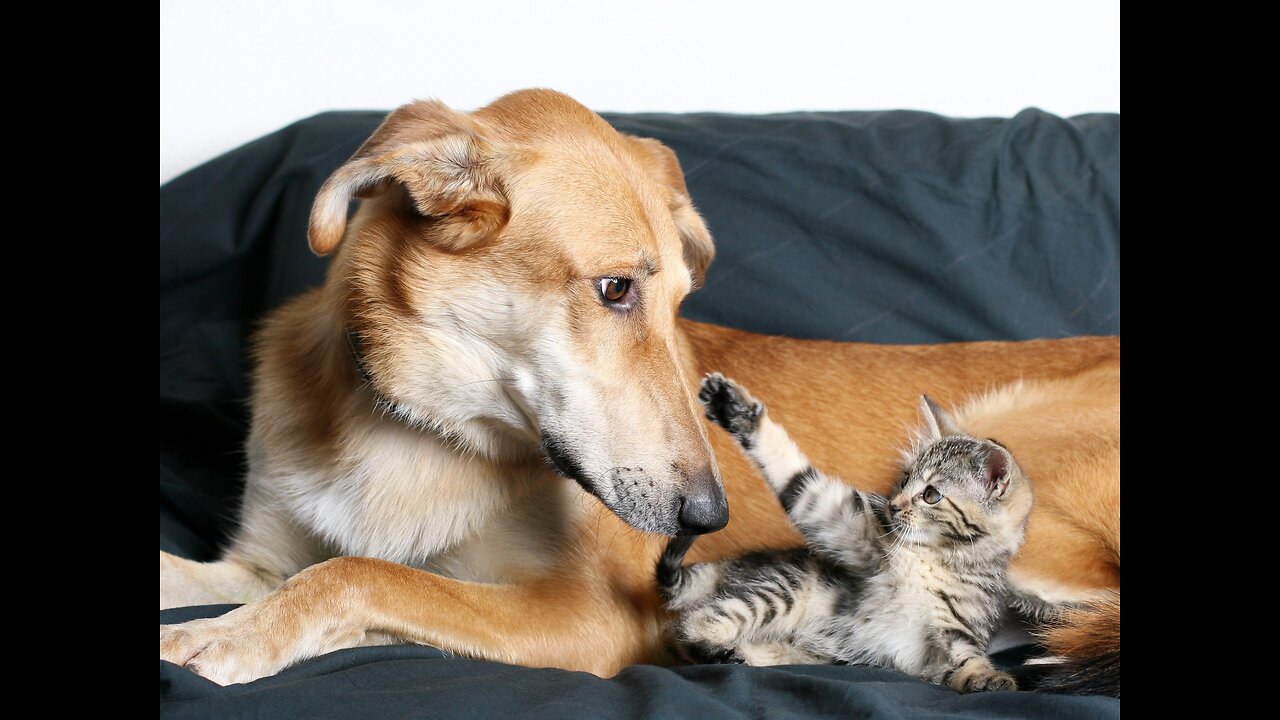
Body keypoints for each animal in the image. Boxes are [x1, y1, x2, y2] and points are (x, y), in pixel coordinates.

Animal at [660, 368, 1029, 691]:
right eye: (904, 480)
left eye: (931, 495)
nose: (893, 506)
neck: (934, 557)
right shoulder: (848, 526)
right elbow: (798, 478)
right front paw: (739, 411)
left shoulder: (954, 633)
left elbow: (964, 656)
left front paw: (986, 676)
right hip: (789, 588)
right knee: (692, 623)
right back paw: (714, 647)